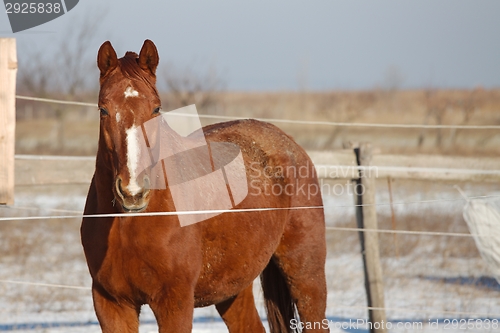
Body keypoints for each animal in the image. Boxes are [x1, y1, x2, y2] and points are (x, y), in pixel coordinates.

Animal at [80, 39, 326, 332]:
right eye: (103, 109)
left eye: (156, 109)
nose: (133, 191)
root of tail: (287, 142)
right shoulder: (112, 305)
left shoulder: (175, 303)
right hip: (234, 287)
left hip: (306, 274)